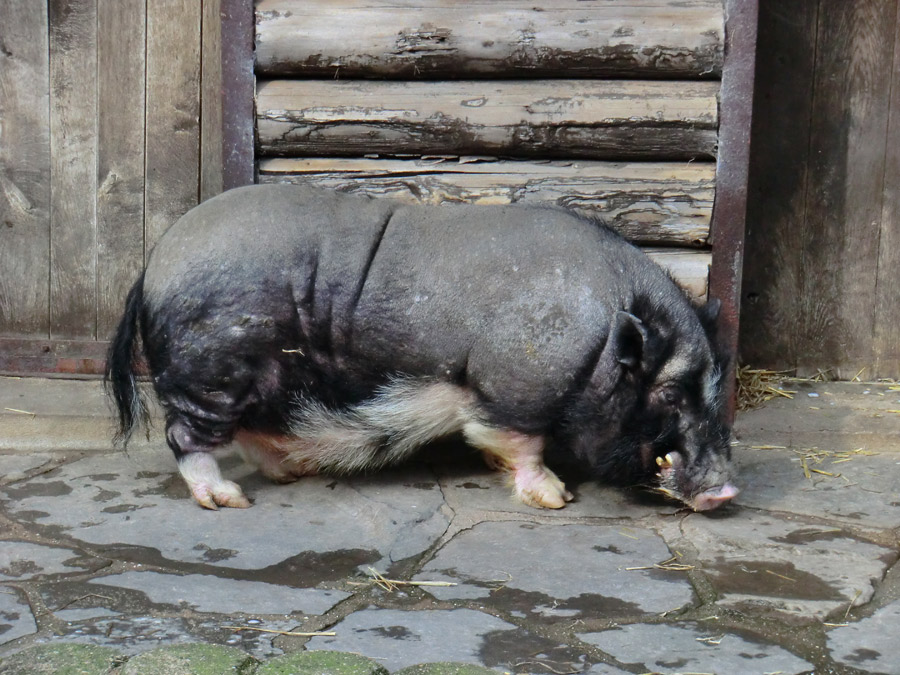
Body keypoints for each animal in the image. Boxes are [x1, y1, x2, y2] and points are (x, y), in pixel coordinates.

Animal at [105, 185, 740, 512]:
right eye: (671, 394)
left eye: (717, 382)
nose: (727, 489)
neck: (600, 343)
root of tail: (151, 267)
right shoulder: (515, 389)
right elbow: (518, 443)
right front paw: (556, 498)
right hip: (210, 372)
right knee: (187, 436)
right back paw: (228, 499)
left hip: (262, 379)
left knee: (253, 428)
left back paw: (290, 473)